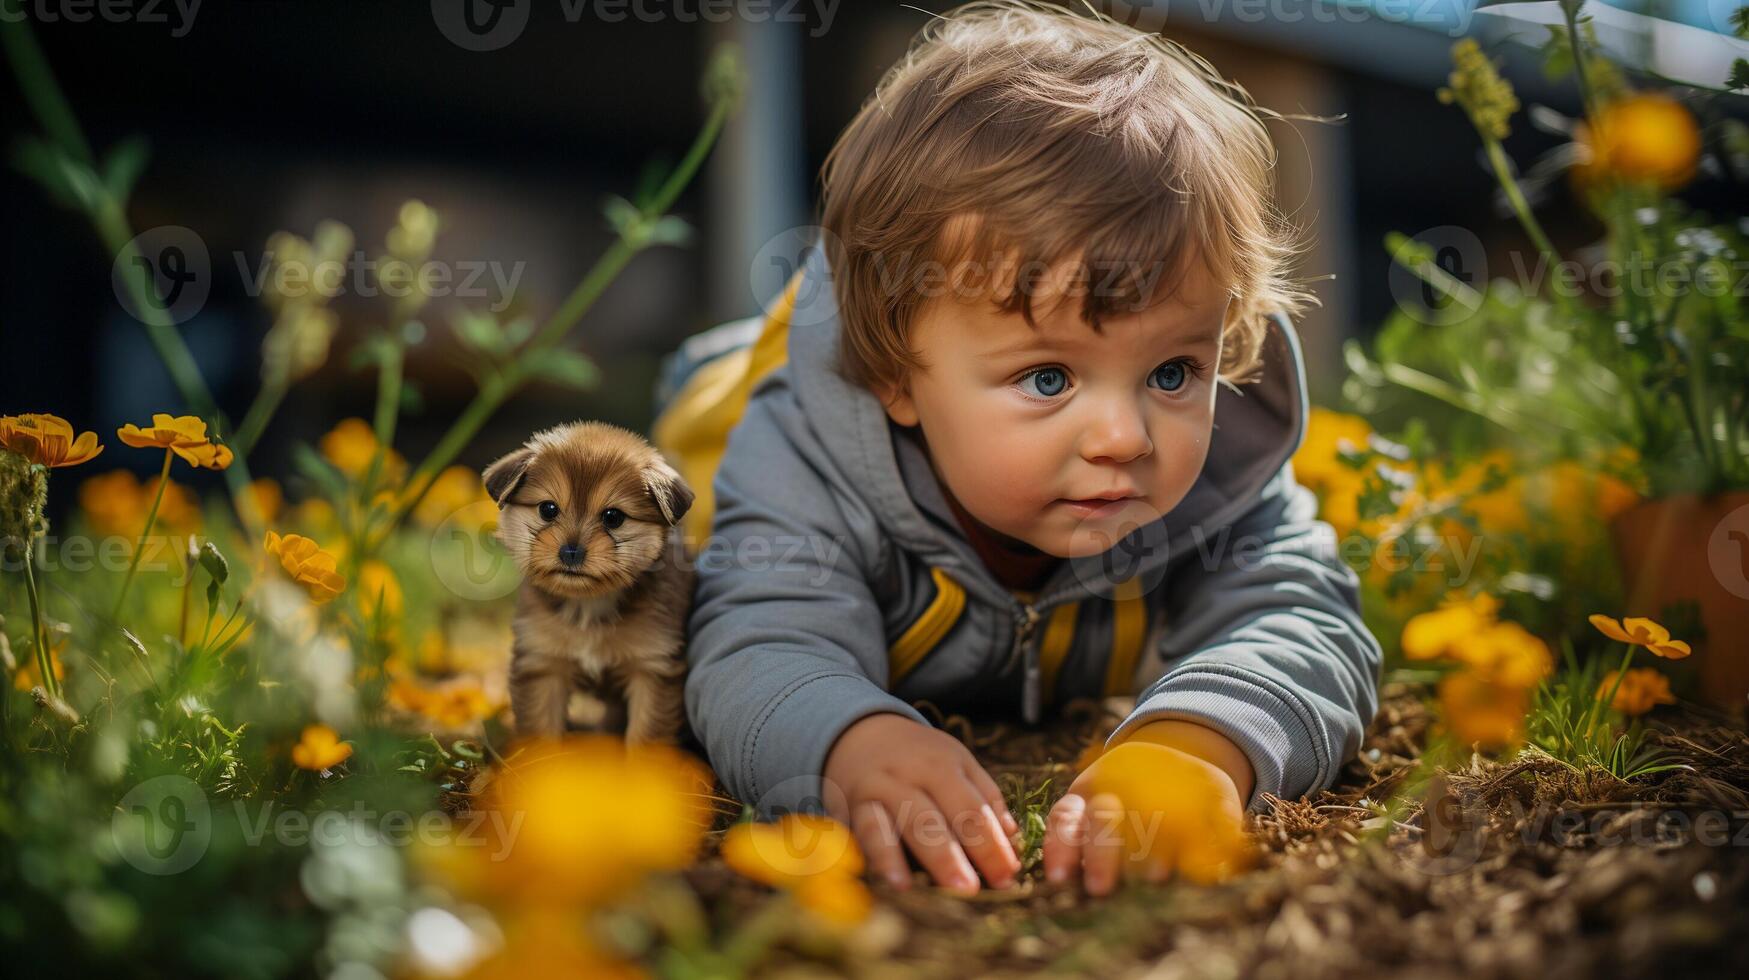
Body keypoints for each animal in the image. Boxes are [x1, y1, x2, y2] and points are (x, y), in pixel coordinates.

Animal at [486, 416, 696, 745]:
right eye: (548, 509)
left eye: (613, 517)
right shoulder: (543, 664)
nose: (570, 552)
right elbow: (542, 733)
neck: (589, 605)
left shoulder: (652, 669)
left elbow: (645, 740)